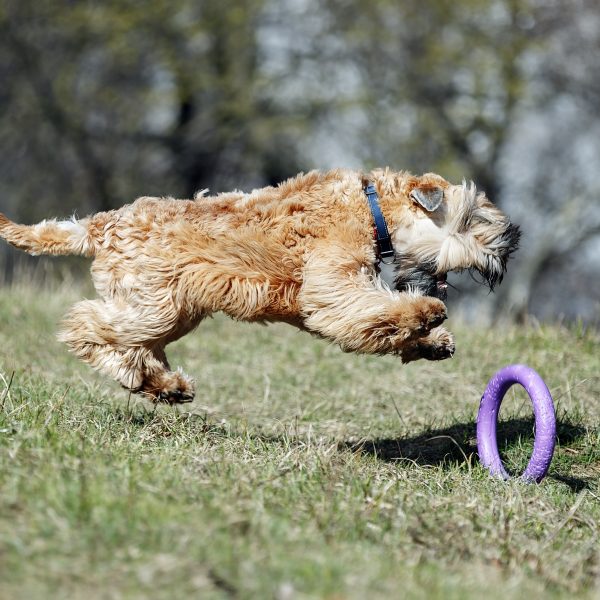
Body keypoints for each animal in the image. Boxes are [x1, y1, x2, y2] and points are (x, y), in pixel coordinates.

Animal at [0, 169, 516, 404]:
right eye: (471, 218)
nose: (509, 245)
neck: (372, 207)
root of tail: (100, 223)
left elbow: (381, 319)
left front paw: (434, 341)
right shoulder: (331, 287)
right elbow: (373, 311)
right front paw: (427, 315)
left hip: (171, 311)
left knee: (136, 348)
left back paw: (166, 385)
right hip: (152, 306)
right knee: (86, 325)